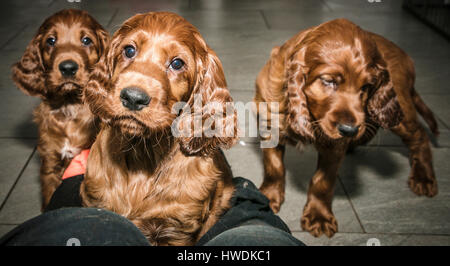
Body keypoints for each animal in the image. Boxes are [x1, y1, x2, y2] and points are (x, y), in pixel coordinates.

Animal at [80, 11, 239, 245]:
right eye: (129, 50)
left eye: (177, 63)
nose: (133, 98)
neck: (143, 155)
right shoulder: (97, 205)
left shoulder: (176, 230)